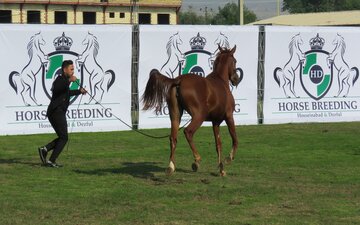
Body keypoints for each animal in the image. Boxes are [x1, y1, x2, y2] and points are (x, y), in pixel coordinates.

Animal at [142, 45, 240, 176]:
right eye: (235, 61)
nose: (236, 79)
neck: (220, 81)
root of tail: (178, 80)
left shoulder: (215, 122)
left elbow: (218, 144)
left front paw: (221, 169)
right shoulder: (229, 116)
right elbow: (235, 139)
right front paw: (228, 159)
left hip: (175, 115)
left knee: (173, 137)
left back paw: (171, 166)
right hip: (199, 116)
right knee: (188, 132)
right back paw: (196, 160)